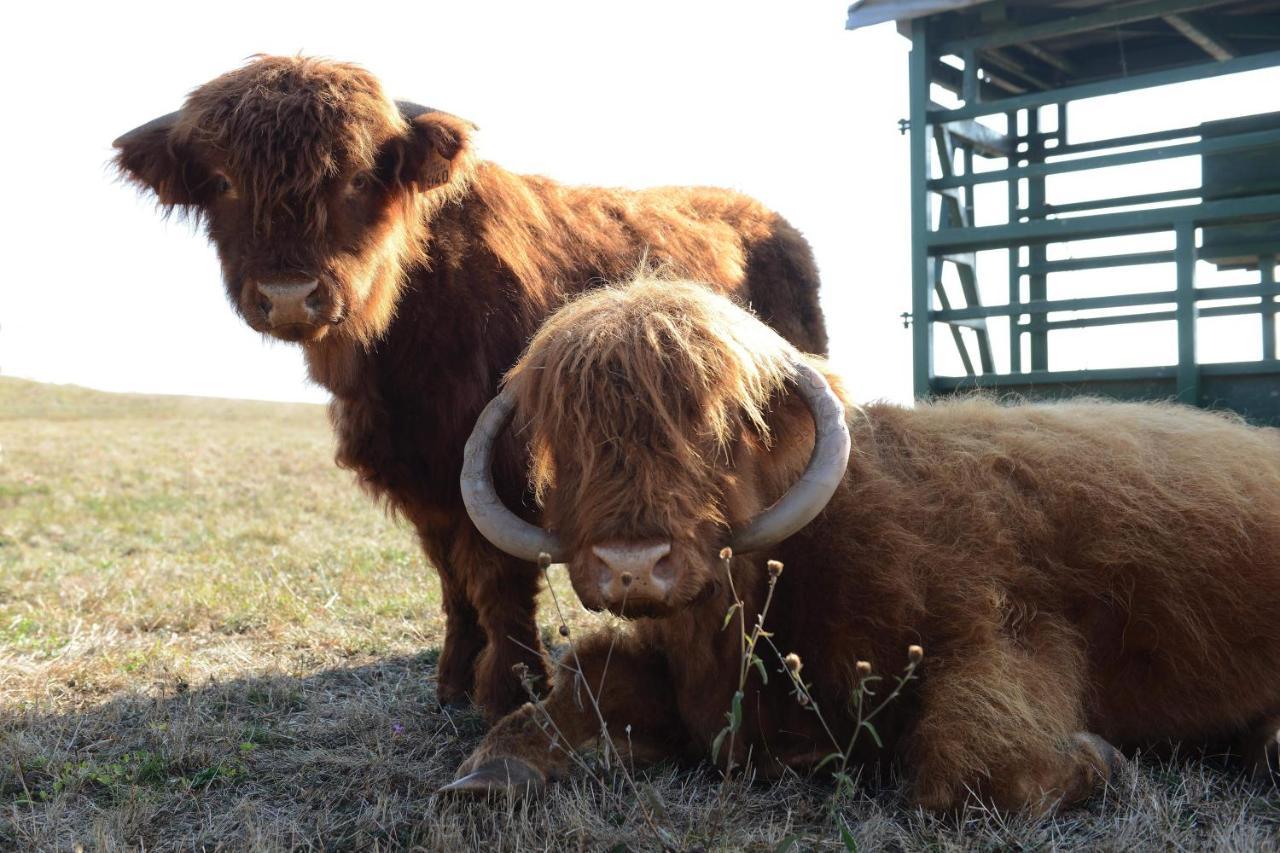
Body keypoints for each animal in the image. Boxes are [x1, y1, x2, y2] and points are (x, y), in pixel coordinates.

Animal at [115, 56, 824, 712]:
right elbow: (452, 577)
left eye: (356, 178)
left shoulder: (496, 463)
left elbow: (497, 576)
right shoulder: (419, 476)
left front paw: (513, 687)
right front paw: (455, 677)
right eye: (224, 181)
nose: (289, 295)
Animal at [450, 277, 1280, 809]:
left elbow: (965, 766)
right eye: (571, 439)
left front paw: (1103, 761)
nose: (633, 566)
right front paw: (491, 770)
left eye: (719, 429)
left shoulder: (1010, 626)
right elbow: (575, 686)